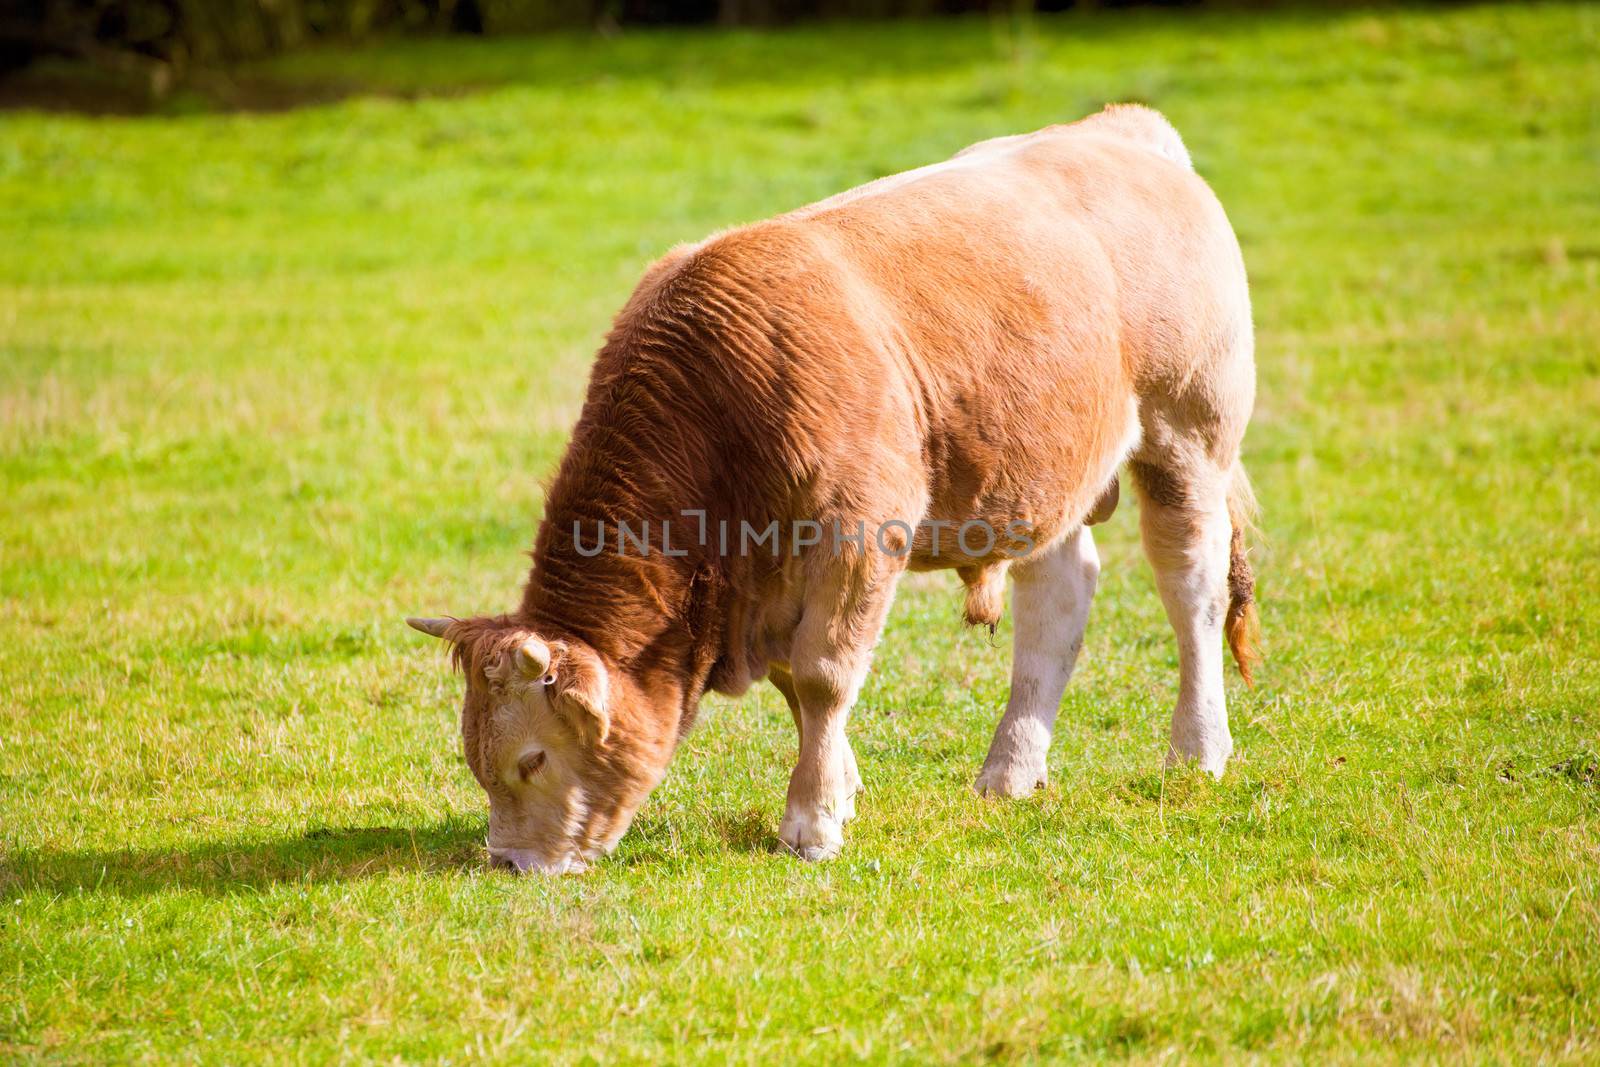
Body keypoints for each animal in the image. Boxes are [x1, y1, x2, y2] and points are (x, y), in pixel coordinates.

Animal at [406, 106, 1254, 876]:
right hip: (1049, 473)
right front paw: (839, 792)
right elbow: (796, 683)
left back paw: (1197, 748)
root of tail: (1121, 129)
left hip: (1188, 439)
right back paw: (1011, 769)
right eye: (476, 759)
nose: (509, 861)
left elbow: (823, 675)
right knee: (1059, 596)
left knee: (1193, 589)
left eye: (532, 759)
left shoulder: (857, 540)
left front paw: (810, 823)